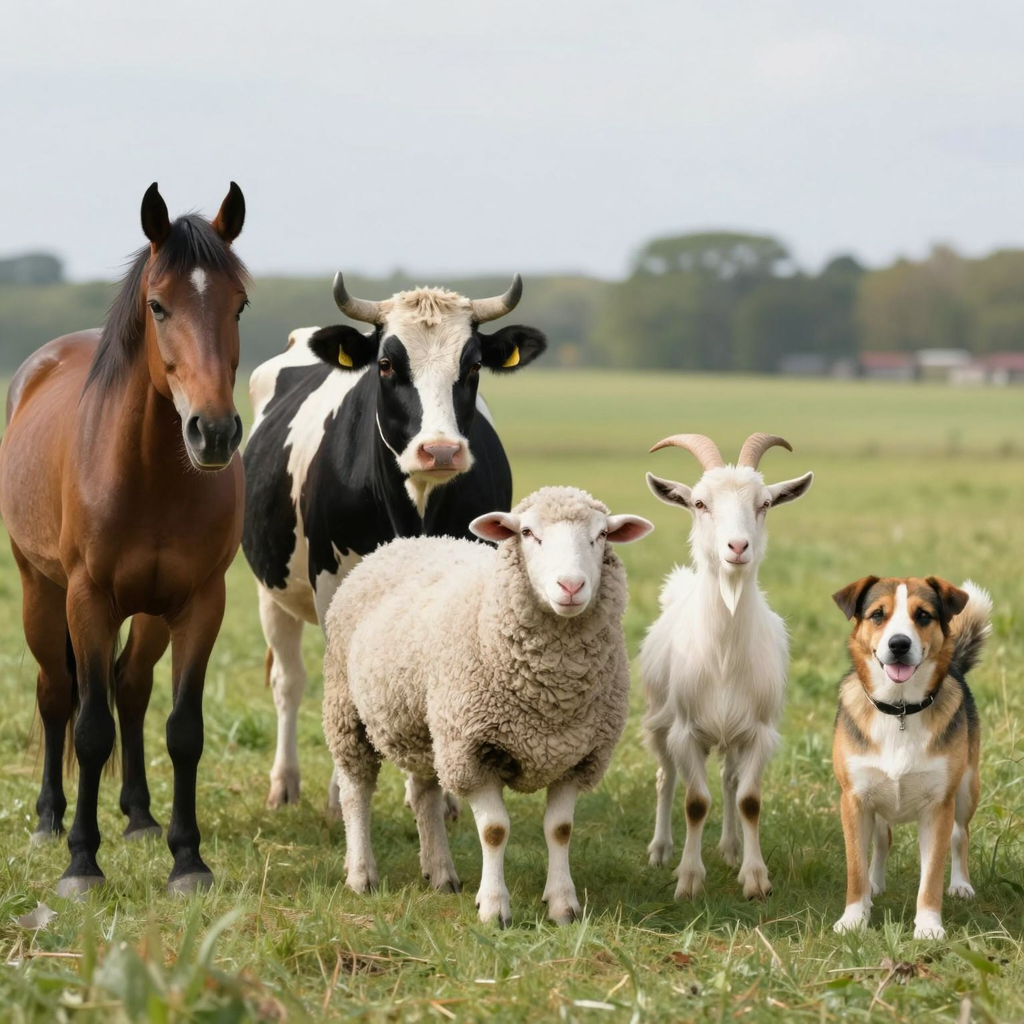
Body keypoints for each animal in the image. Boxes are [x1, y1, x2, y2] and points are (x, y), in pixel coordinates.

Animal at [0, 183, 248, 896]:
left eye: (240, 303)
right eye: (158, 304)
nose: (213, 433)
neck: (152, 475)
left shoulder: (201, 602)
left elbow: (183, 728)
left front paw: (187, 860)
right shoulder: (88, 601)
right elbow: (89, 728)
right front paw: (82, 862)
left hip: (150, 612)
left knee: (131, 689)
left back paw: (139, 817)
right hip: (39, 592)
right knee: (57, 694)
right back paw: (49, 820)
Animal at [241, 273, 546, 811]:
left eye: (473, 365)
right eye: (386, 365)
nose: (440, 450)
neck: (414, 510)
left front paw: (444, 795)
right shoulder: (332, 584)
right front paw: (342, 792)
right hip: (271, 590)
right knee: (289, 682)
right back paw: (285, 783)